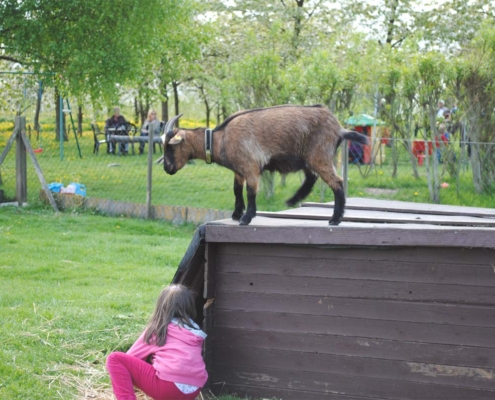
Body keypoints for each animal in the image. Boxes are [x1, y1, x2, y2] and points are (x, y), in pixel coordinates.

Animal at [161, 104, 366, 225]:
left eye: (170, 147)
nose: (166, 168)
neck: (220, 138)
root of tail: (339, 128)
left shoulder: (250, 166)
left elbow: (251, 191)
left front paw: (246, 217)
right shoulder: (239, 170)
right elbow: (237, 190)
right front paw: (236, 214)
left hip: (319, 155)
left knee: (337, 182)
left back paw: (335, 218)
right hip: (309, 159)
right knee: (311, 178)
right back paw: (293, 200)